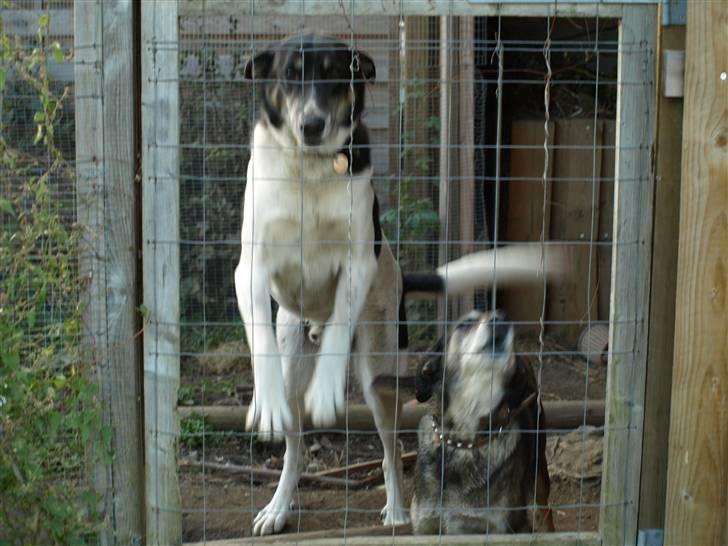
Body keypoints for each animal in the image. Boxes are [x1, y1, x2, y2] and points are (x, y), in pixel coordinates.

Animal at [236, 33, 560, 532]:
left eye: (337, 75)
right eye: (289, 76)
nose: (312, 124)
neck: (310, 168)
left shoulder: (356, 265)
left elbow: (339, 331)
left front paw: (327, 389)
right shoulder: (249, 271)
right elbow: (260, 340)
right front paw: (262, 402)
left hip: (379, 376)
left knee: (390, 450)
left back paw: (395, 507)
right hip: (295, 358)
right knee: (294, 451)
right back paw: (278, 506)